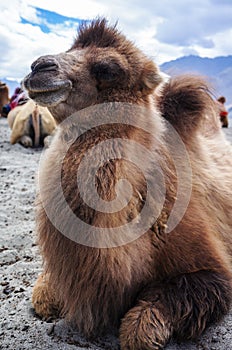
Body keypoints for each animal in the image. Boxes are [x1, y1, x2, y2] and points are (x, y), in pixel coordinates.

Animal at [22, 19, 231, 350]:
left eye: (108, 69)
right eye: (70, 48)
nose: (39, 66)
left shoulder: (213, 270)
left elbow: (138, 333)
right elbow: (43, 295)